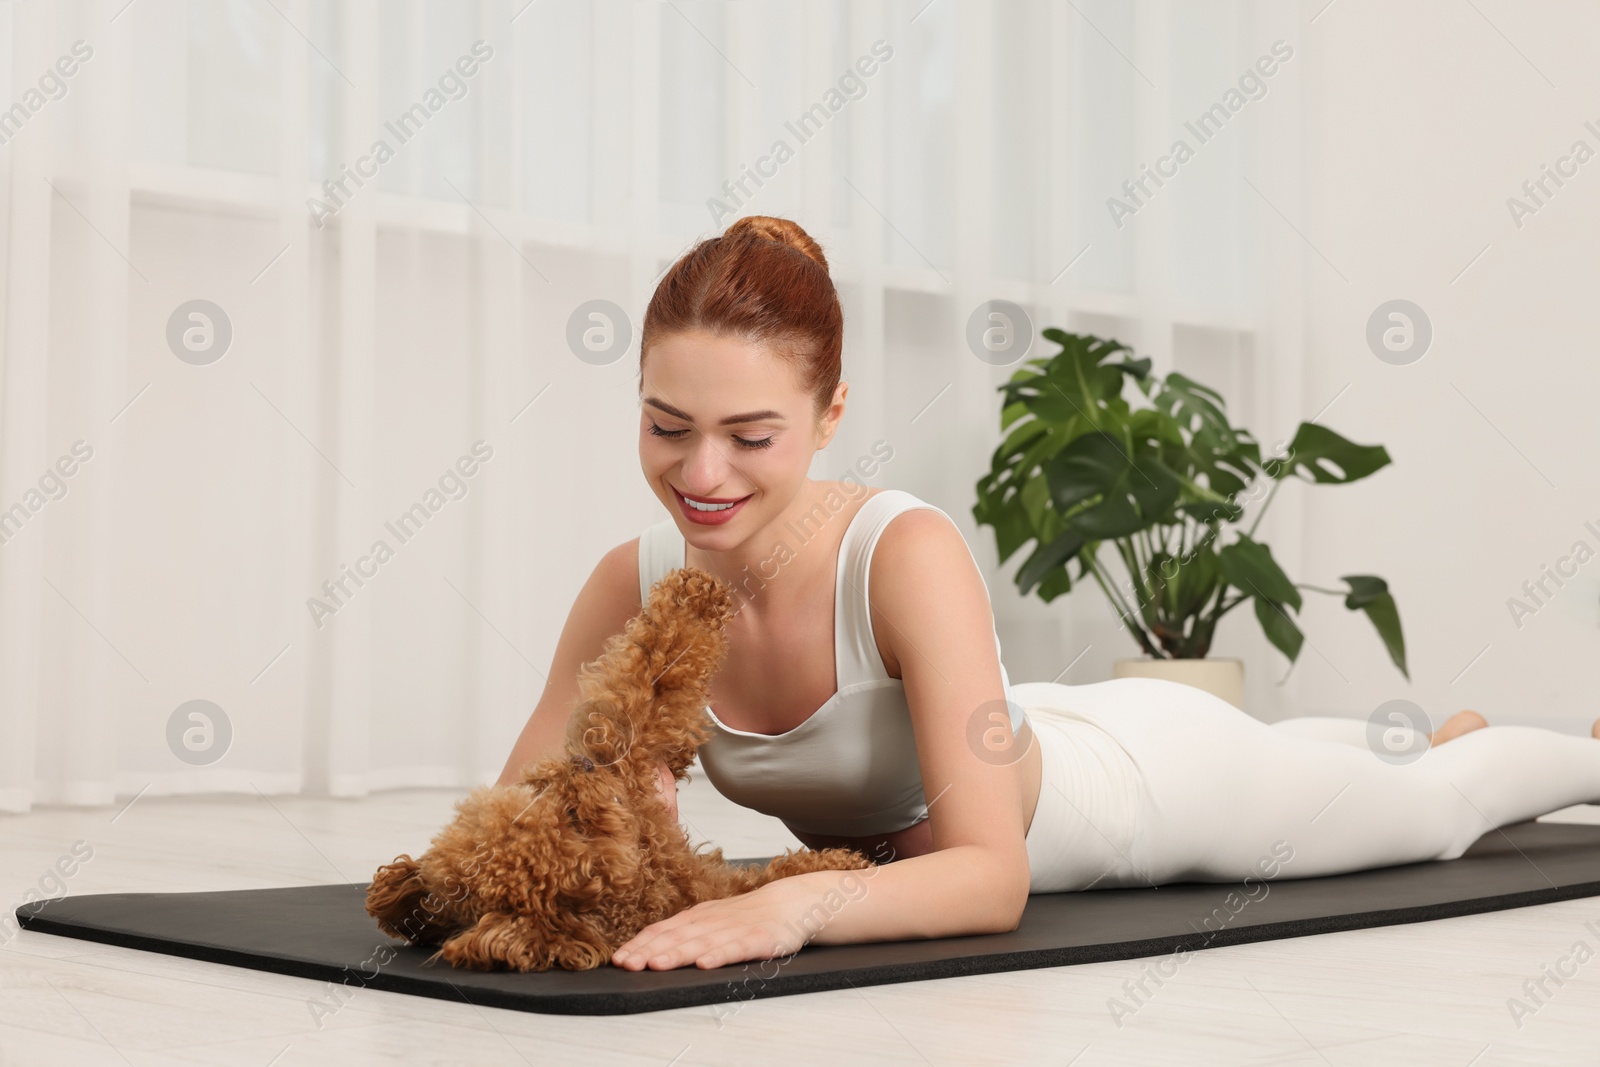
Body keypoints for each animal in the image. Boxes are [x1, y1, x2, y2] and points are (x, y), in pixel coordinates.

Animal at [364, 572, 876, 972]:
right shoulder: (700, 875)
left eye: (557, 805)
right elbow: (659, 672)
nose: (585, 767)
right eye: (571, 820)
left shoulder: (625, 751)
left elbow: (652, 672)